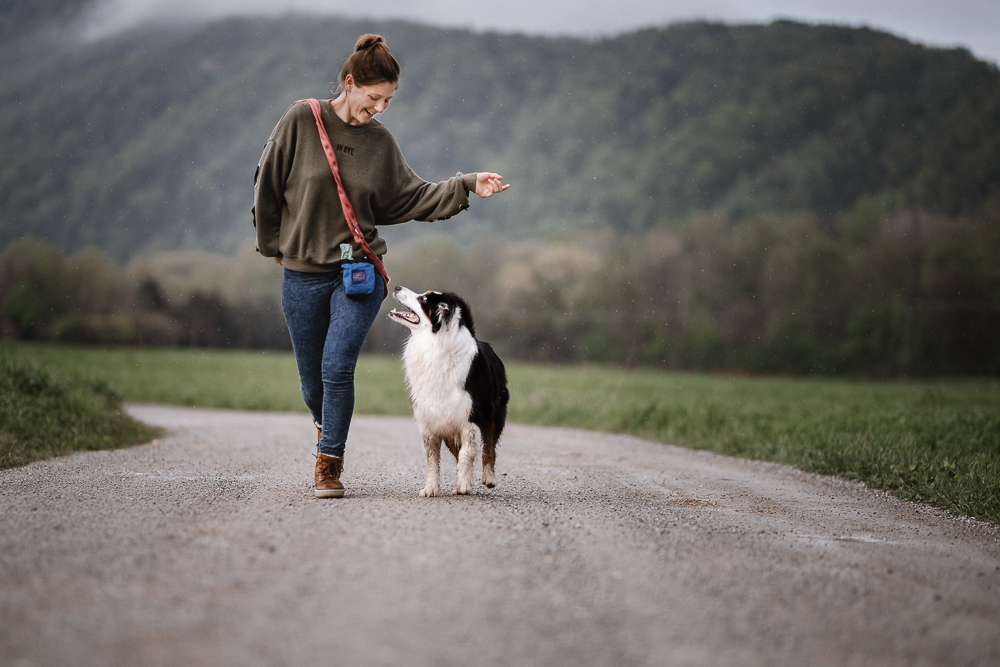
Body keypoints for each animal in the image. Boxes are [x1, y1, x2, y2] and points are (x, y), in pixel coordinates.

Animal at [384, 286, 508, 496]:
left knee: (489, 447)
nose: (397, 287)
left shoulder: (471, 418)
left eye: (424, 298)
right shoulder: (431, 422)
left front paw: (465, 483)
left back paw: (488, 478)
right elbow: (432, 460)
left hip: (494, 413)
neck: (433, 342)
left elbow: (468, 452)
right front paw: (431, 488)